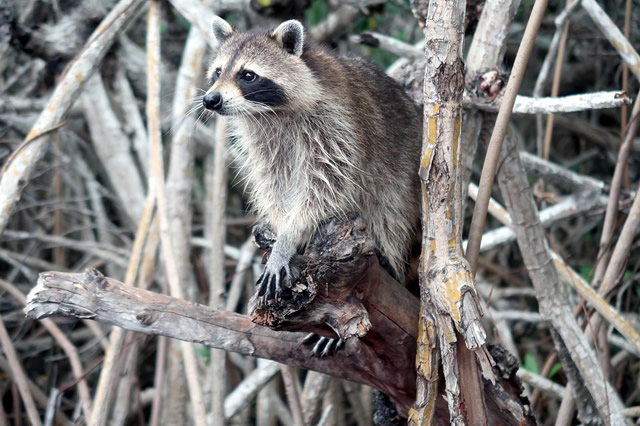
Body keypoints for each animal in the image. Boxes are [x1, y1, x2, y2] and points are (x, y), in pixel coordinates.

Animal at [205, 16, 422, 300]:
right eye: (218, 72)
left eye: (248, 75)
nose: (211, 99)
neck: (271, 113)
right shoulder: (264, 142)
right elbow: (274, 184)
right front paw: (281, 228)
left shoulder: (334, 129)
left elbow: (325, 187)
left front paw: (289, 236)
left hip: (402, 167)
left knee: (390, 209)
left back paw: (390, 259)